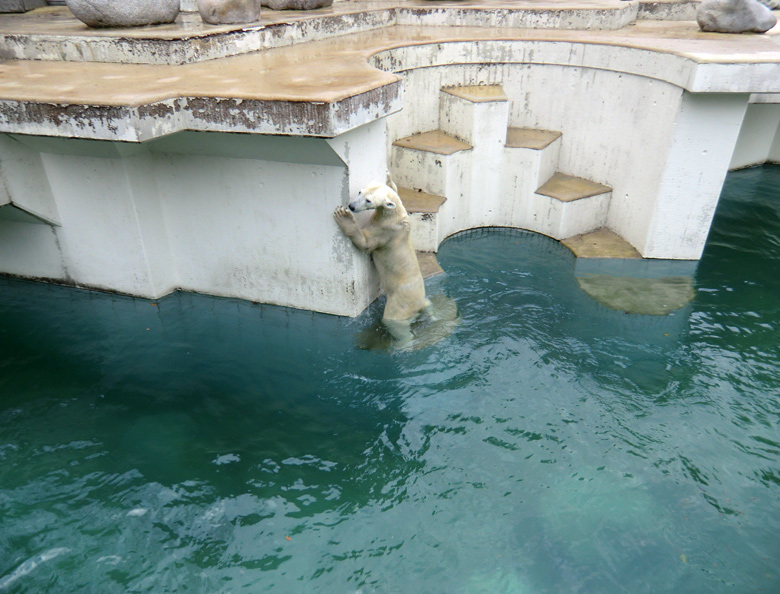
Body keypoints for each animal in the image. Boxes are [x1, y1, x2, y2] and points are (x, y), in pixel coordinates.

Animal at [330, 177, 426, 338]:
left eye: (368, 200)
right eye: (360, 191)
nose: (351, 206)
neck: (395, 214)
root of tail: (421, 303)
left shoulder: (385, 231)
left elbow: (366, 243)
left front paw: (344, 216)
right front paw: (389, 178)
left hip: (400, 304)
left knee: (395, 322)